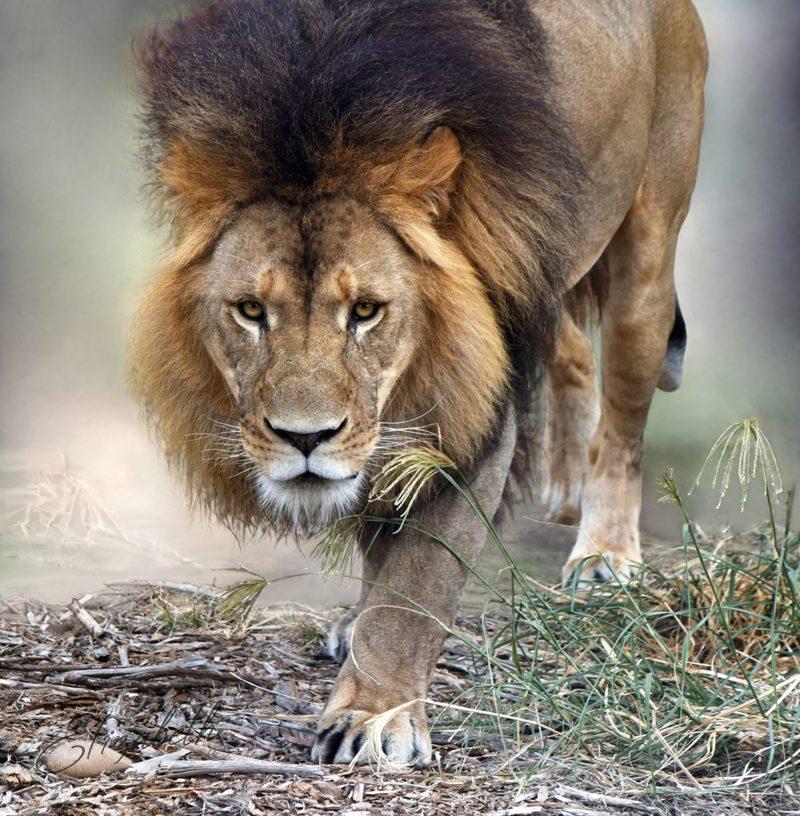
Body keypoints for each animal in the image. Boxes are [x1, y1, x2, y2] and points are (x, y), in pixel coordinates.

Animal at [131, 0, 707, 766]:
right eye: (251, 311)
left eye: (366, 311)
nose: (305, 439)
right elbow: (383, 544)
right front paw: (359, 623)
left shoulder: (472, 419)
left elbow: (415, 585)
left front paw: (373, 715)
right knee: (571, 352)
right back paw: (564, 491)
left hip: (648, 256)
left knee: (625, 422)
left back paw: (604, 552)